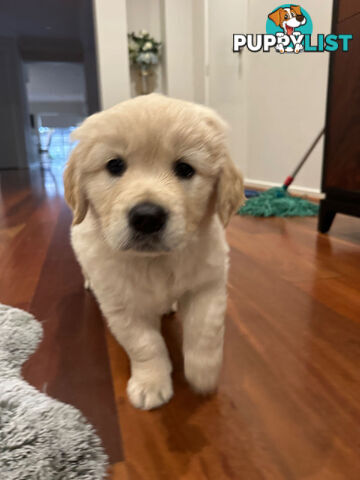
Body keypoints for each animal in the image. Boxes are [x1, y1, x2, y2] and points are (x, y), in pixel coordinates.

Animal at [64, 94, 245, 408]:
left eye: (185, 169)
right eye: (114, 165)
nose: (147, 217)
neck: (156, 262)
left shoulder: (207, 284)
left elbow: (205, 332)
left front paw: (203, 374)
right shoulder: (121, 304)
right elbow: (146, 345)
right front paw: (151, 384)